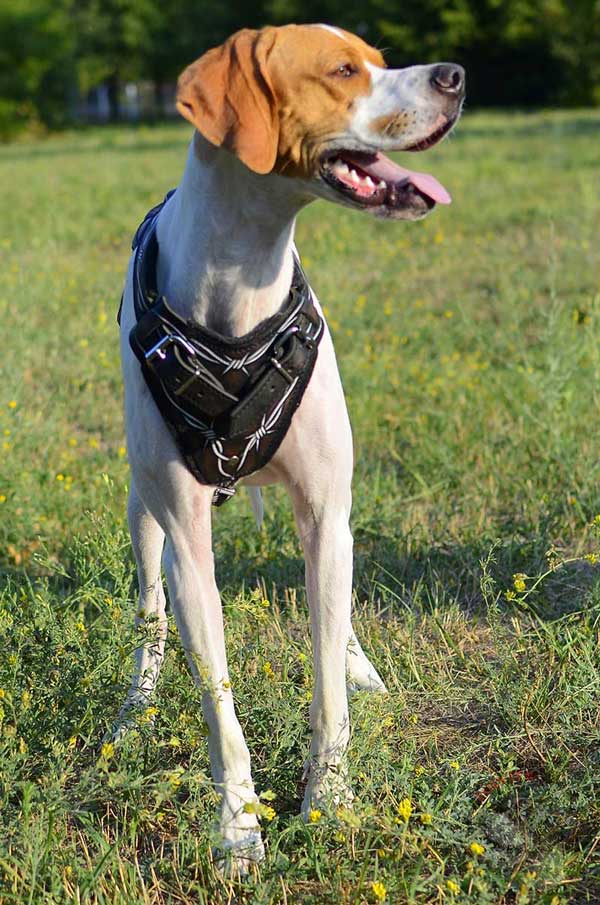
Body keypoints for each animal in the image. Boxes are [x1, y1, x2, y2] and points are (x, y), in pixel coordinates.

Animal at [115, 21, 466, 868]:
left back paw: (359, 662)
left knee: (334, 611)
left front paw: (330, 803)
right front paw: (238, 827)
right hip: (144, 518)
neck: (240, 286)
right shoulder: (186, 539)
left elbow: (327, 685)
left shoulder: (327, 513)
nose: (455, 75)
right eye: (342, 70)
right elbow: (219, 707)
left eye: (379, 59)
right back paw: (133, 713)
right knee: (149, 618)